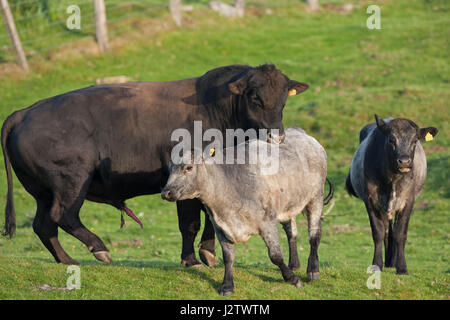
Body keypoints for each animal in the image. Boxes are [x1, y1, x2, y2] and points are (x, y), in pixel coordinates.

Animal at [0, 63, 308, 266]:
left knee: (43, 225)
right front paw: (191, 260)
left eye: (283, 100)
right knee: (63, 216)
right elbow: (190, 223)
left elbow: (211, 216)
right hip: (71, 183)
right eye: (255, 98)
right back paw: (99, 248)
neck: (215, 110)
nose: (276, 136)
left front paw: (208, 253)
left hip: (42, 192)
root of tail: (23, 112)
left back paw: (66, 260)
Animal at [161, 127, 330, 296]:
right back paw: (294, 264)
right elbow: (228, 257)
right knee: (291, 232)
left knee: (314, 235)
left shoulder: (267, 221)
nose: (166, 192)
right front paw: (227, 285)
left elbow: (275, 255)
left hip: (316, 198)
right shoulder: (220, 226)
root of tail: (298, 131)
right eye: (169, 169)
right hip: (288, 204)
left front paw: (292, 279)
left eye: (188, 167)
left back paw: (313, 270)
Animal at [346, 115, 438, 276]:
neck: (392, 179)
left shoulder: (408, 201)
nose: (404, 161)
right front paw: (376, 264)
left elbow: (400, 234)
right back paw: (388, 262)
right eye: (391, 140)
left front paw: (402, 268)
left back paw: (392, 262)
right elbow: (378, 233)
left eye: (415, 140)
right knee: (387, 232)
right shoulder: (371, 200)